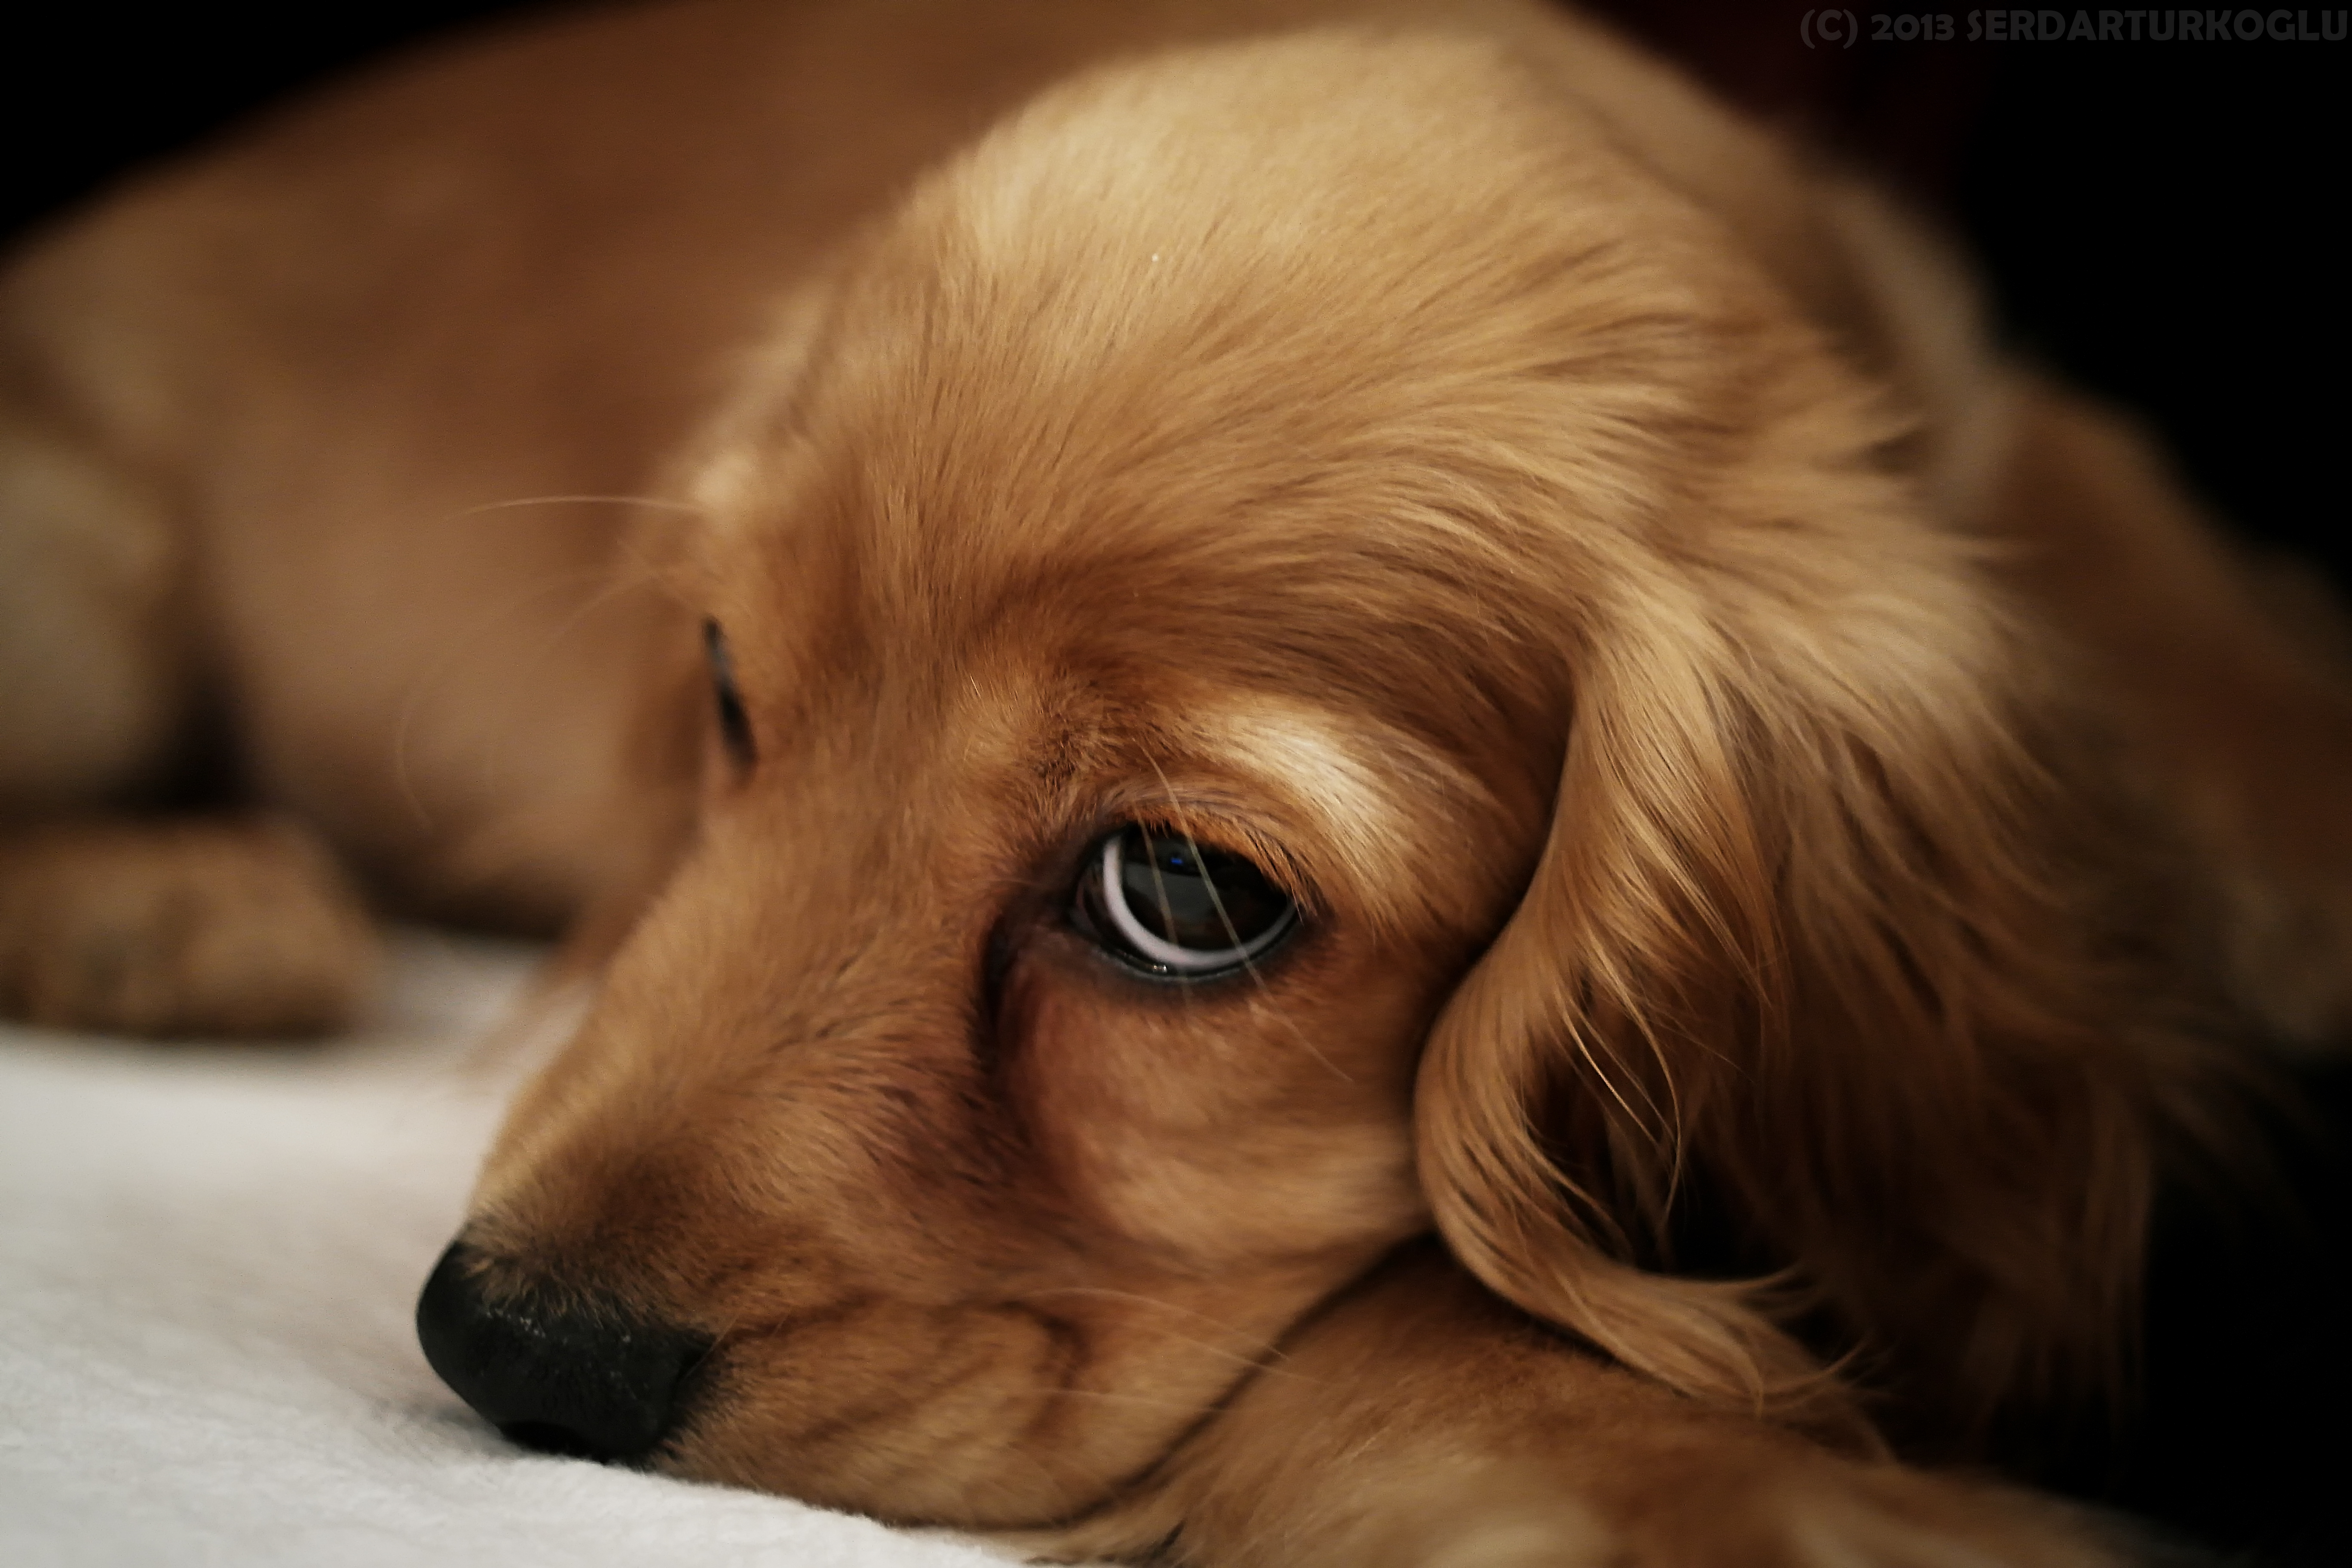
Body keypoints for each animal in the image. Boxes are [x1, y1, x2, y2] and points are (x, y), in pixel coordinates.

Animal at [4, 3, 2352, 1568]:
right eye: (729, 684)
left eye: (1186, 895)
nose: (506, 1347)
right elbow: (1456, 1350)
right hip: (86, 565)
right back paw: (174, 909)